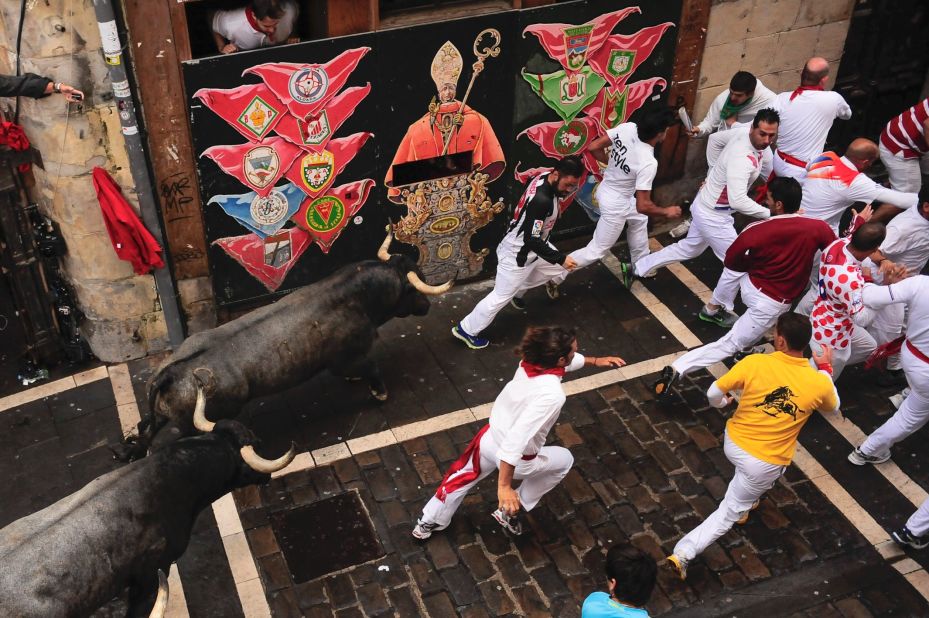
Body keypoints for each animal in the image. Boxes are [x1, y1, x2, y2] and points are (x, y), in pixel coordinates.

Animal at [134, 231, 450, 448]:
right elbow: (371, 367)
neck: (354, 295)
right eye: (413, 288)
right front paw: (379, 392)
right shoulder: (343, 360)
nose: (427, 306)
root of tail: (170, 372)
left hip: (162, 413)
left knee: (146, 429)